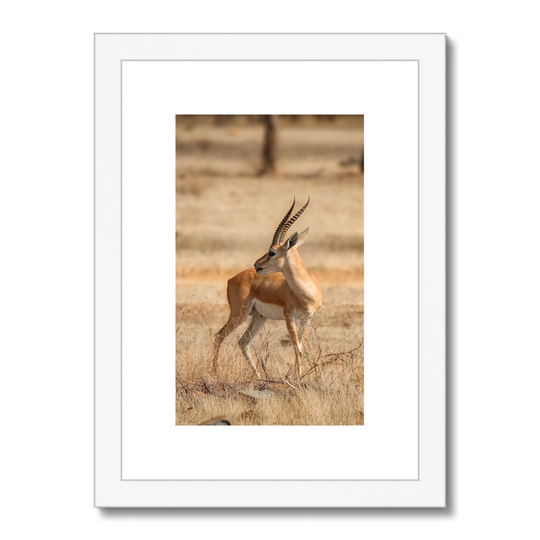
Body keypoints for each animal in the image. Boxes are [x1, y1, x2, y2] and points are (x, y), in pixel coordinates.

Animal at [211, 196, 320, 378]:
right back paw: (215, 374)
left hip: (259, 317)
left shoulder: (307, 319)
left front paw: (299, 376)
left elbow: (300, 347)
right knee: (219, 336)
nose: (257, 264)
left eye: (272, 252)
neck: (306, 295)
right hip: (239, 314)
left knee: (243, 341)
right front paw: (298, 378)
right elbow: (296, 347)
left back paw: (259, 377)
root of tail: (232, 278)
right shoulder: (289, 317)